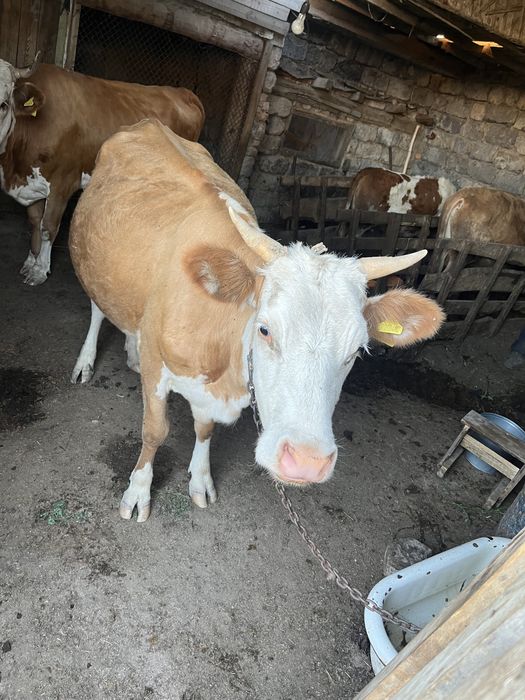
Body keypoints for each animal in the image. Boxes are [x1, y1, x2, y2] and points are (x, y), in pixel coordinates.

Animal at [0, 54, 204, 286]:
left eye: (3, 104)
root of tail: (183, 92)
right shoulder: (31, 182)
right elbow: (35, 222)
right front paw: (30, 262)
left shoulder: (63, 181)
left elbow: (48, 226)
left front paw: (40, 270)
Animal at [69, 119, 444, 522]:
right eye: (264, 329)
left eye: (357, 351)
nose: (307, 461)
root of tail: (149, 123)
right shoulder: (159, 367)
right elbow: (155, 430)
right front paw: (138, 491)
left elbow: (204, 429)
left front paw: (201, 479)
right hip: (92, 261)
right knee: (98, 309)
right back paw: (86, 362)